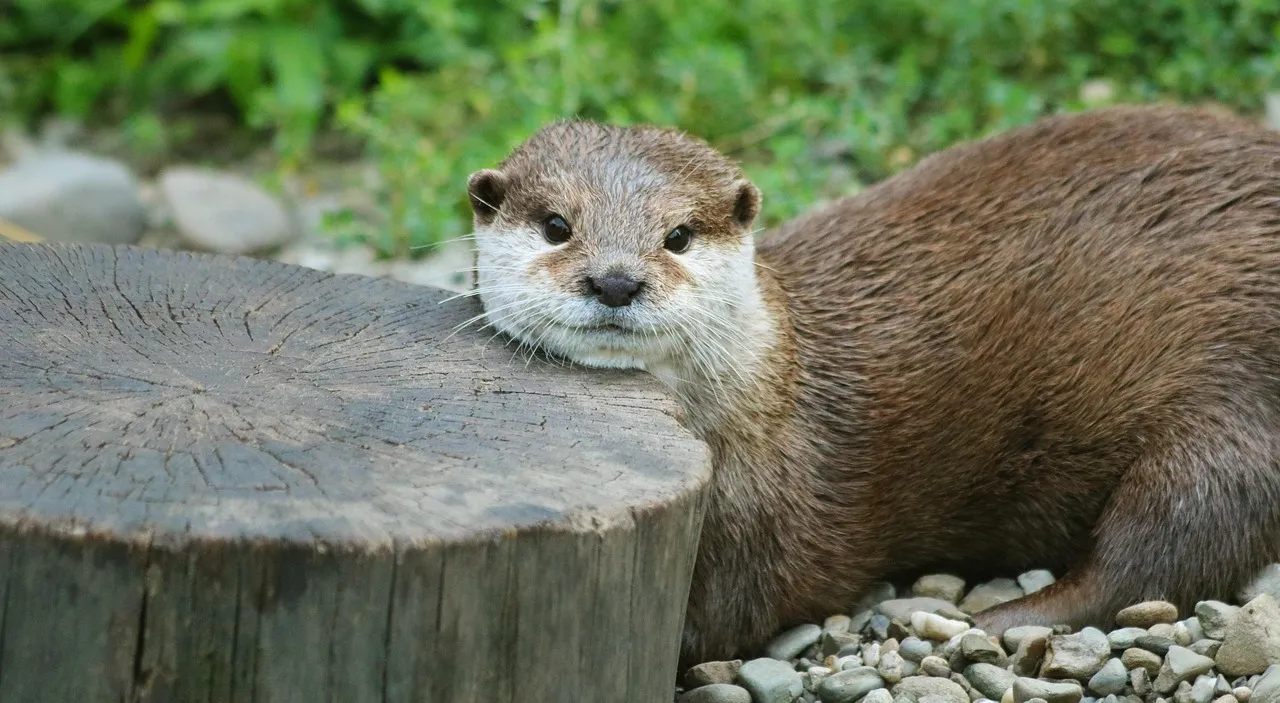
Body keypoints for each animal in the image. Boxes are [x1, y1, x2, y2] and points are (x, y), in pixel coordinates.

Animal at [464, 104, 1280, 664]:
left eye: (678, 235)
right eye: (557, 225)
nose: (615, 280)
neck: (778, 406)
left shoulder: (762, 521)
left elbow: (725, 619)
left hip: (1230, 389)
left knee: (1170, 541)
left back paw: (997, 622)